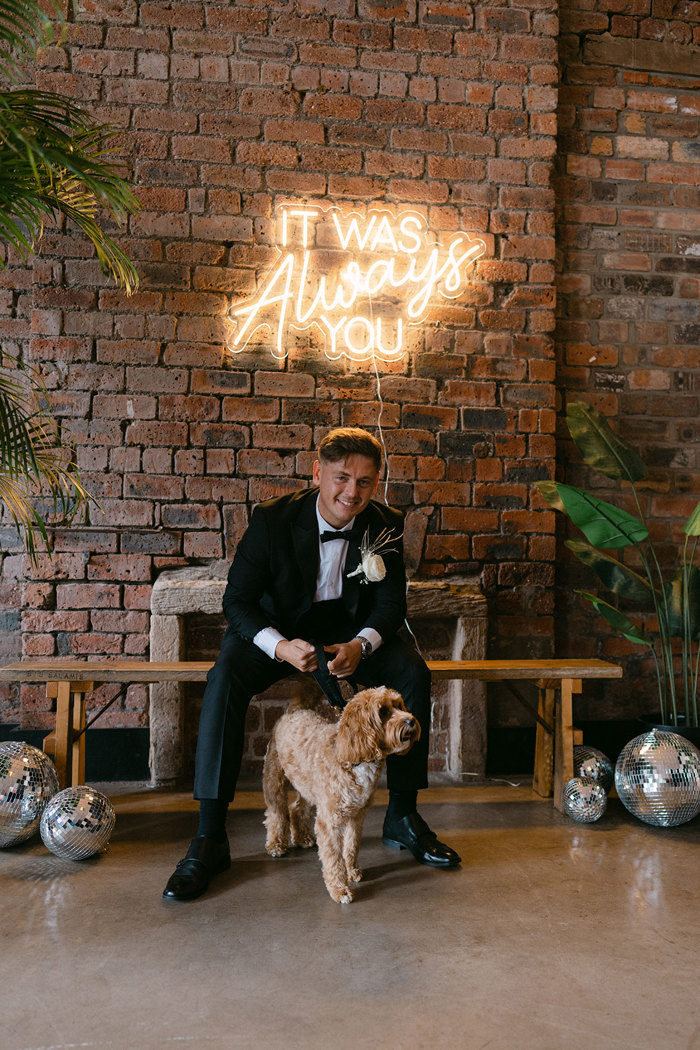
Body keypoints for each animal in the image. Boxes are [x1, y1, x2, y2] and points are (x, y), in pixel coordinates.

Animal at [261, 688, 415, 902]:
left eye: (399, 705)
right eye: (383, 712)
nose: (411, 720)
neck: (353, 758)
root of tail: (296, 709)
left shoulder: (356, 817)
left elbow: (351, 847)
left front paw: (352, 871)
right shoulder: (329, 821)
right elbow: (333, 858)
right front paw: (339, 889)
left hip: (307, 786)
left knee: (297, 809)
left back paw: (302, 838)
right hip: (274, 776)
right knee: (276, 812)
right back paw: (275, 844)